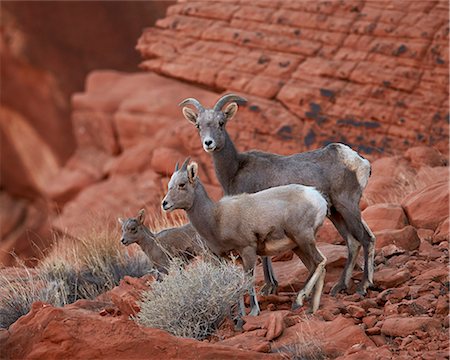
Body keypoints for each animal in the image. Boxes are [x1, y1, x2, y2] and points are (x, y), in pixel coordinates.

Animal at [161, 158, 326, 316]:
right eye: (170, 185)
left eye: (182, 184)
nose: (165, 204)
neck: (216, 218)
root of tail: (318, 198)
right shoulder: (237, 259)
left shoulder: (248, 251)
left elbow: (248, 282)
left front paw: (253, 312)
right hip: (298, 246)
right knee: (315, 266)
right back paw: (311, 309)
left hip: (303, 239)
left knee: (320, 261)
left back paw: (299, 300)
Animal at [179, 94, 376, 296]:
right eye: (198, 125)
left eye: (221, 122)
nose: (208, 143)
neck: (235, 169)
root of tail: (359, 160)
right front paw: (272, 285)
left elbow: (264, 257)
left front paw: (268, 287)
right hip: (336, 212)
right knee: (353, 242)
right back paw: (339, 286)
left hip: (347, 207)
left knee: (366, 239)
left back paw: (362, 286)